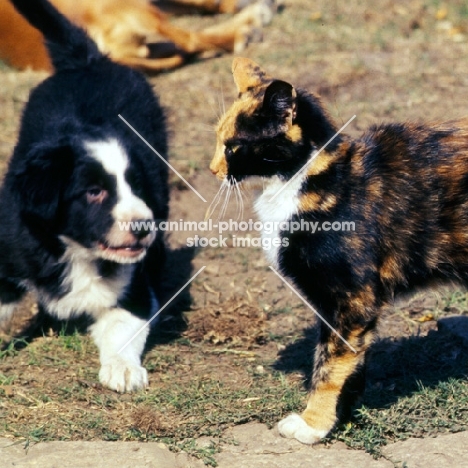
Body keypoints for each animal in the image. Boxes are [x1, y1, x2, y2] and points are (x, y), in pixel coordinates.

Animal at [0, 0, 168, 394]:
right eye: (94, 192)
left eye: (137, 186)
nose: (143, 227)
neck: (73, 250)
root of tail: (89, 60)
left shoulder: (133, 285)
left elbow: (123, 324)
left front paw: (123, 369)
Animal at [210, 57, 468, 442]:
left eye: (232, 146)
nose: (213, 169)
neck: (313, 181)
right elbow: (342, 358)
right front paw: (344, 414)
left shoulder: (351, 296)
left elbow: (330, 364)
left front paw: (313, 423)